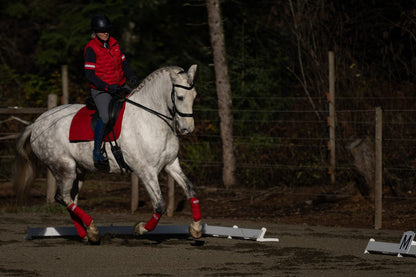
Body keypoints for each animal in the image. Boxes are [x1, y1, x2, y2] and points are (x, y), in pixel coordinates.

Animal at [12, 64, 202, 242]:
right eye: (180, 97)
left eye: (194, 96)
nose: (187, 129)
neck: (150, 119)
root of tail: (36, 124)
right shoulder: (146, 171)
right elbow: (159, 205)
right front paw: (139, 229)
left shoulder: (171, 164)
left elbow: (191, 190)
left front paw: (196, 228)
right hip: (64, 167)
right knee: (63, 197)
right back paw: (92, 229)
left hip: (79, 171)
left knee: (70, 199)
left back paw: (86, 234)